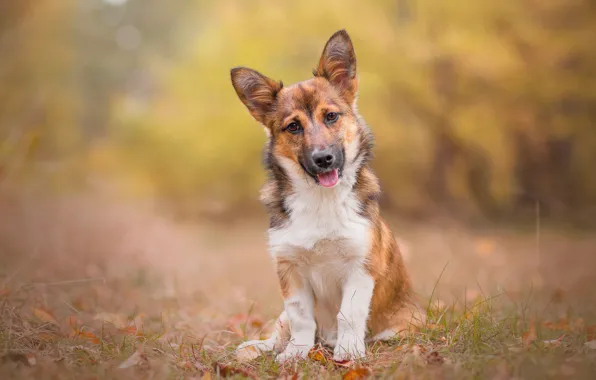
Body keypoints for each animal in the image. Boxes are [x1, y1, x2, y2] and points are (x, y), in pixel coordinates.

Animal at [229, 29, 424, 362]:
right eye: (293, 126)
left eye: (331, 116)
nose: (323, 159)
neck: (321, 198)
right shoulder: (289, 268)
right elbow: (300, 318)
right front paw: (296, 352)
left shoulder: (360, 266)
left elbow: (349, 313)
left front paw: (348, 350)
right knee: (280, 326)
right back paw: (256, 347)